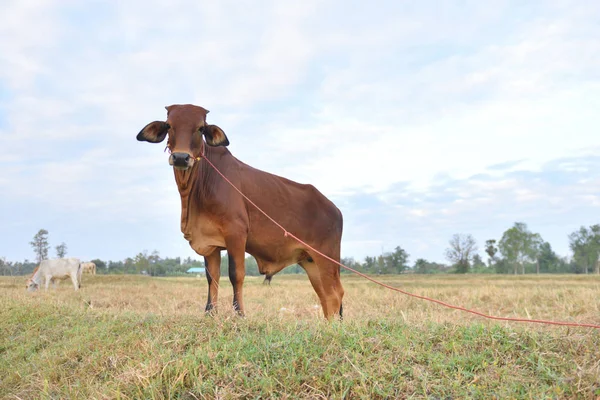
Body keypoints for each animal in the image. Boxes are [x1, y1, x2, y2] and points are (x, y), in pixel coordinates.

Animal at [135, 104, 342, 318]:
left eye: (201, 128)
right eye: (169, 125)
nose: (181, 158)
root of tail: (334, 208)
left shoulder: (236, 234)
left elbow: (236, 274)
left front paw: (239, 313)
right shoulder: (210, 242)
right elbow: (212, 277)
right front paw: (210, 312)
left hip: (326, 259)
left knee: (335, 294)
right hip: (311, 262)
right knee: (325, 296)